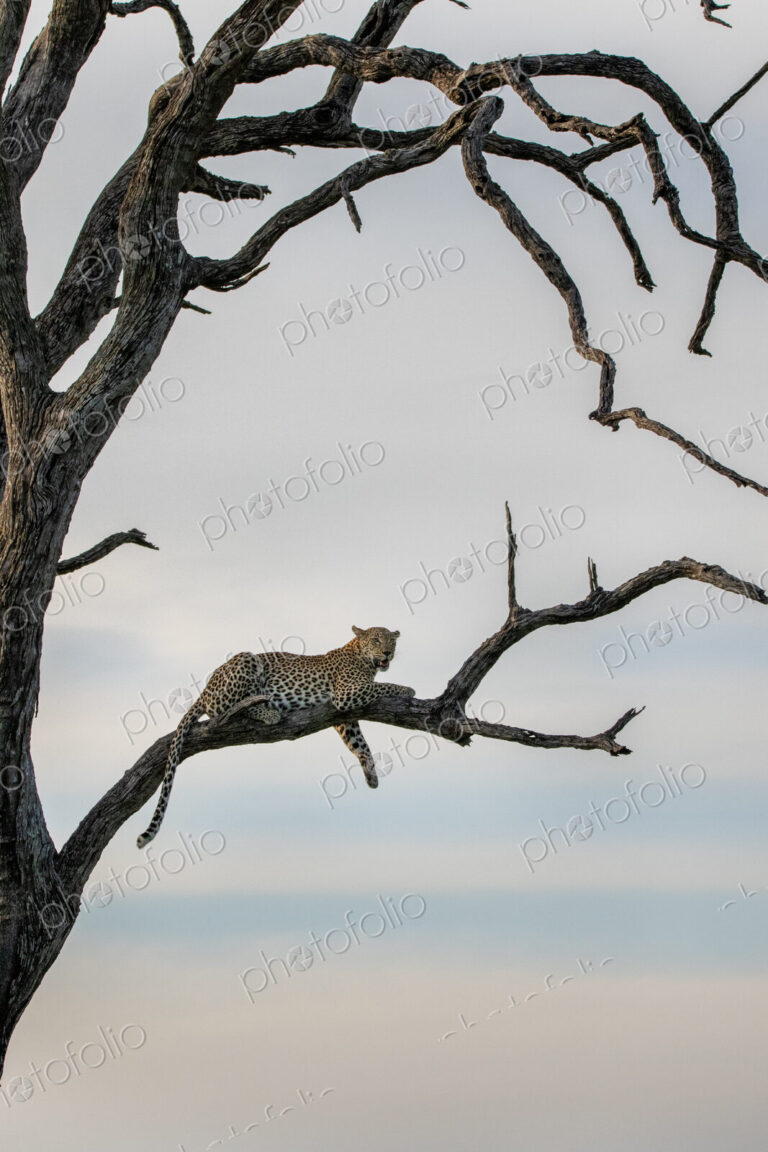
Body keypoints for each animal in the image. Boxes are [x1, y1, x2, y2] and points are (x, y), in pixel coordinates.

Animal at [136, 625, 414, 848]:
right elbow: (381, 687)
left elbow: (359, 743)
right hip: (245, 661)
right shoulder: (347, 694)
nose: (387, 653)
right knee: (225, 709)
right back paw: (268, 711)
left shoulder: (344, 715)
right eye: (376, 640)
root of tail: (204, 689)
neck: (362, 659)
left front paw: (371, 775)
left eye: (392, 642)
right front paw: (407, 689)